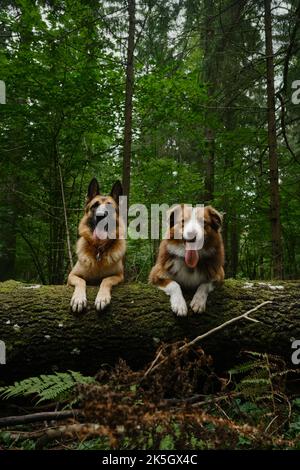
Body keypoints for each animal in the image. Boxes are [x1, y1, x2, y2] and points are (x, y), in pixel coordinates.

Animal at [68, 178, 125, 314]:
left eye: (110, 207)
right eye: (94, 206)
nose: (101, 216)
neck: (99, 248)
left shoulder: (119, 277)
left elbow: (106, 280)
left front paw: (102, 298)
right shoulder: (71, 276)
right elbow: (81, 281)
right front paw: (78, 299)